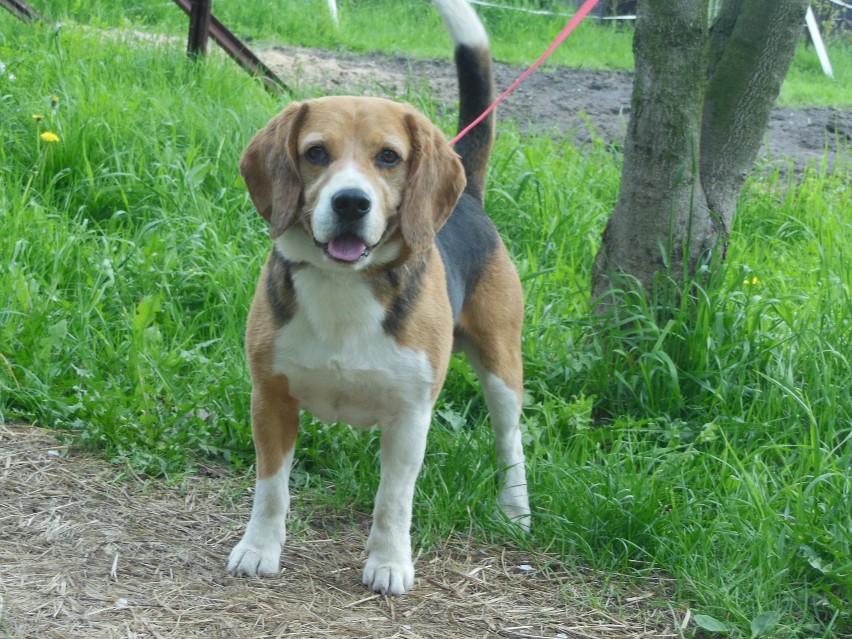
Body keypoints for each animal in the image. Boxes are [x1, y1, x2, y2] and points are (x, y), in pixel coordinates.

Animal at [230, 0, 528, 596]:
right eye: (316, 153)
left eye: (389, 158)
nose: (350, 202)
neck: (343, 286)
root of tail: (469, 195)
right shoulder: (269, 397)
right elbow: (271, 489)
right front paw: (259, 549)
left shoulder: (412, 415)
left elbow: (394, 500)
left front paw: (389, 563)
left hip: (502, 364)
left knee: (511, 439)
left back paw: (515, 510)